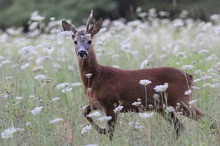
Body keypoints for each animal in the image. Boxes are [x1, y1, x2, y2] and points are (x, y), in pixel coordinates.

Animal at [61, 11, 218, 139]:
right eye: (75, 41)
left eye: (89, 41)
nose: (82, 52)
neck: (95, 79)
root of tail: (189, 76)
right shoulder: (96, 103)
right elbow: (84, 111)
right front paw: (101, 130)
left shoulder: (111, 104)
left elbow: (111, 133)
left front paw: (104, 132)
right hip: (165, 107)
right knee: (180, 127)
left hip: (181, 99)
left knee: (209, 120)